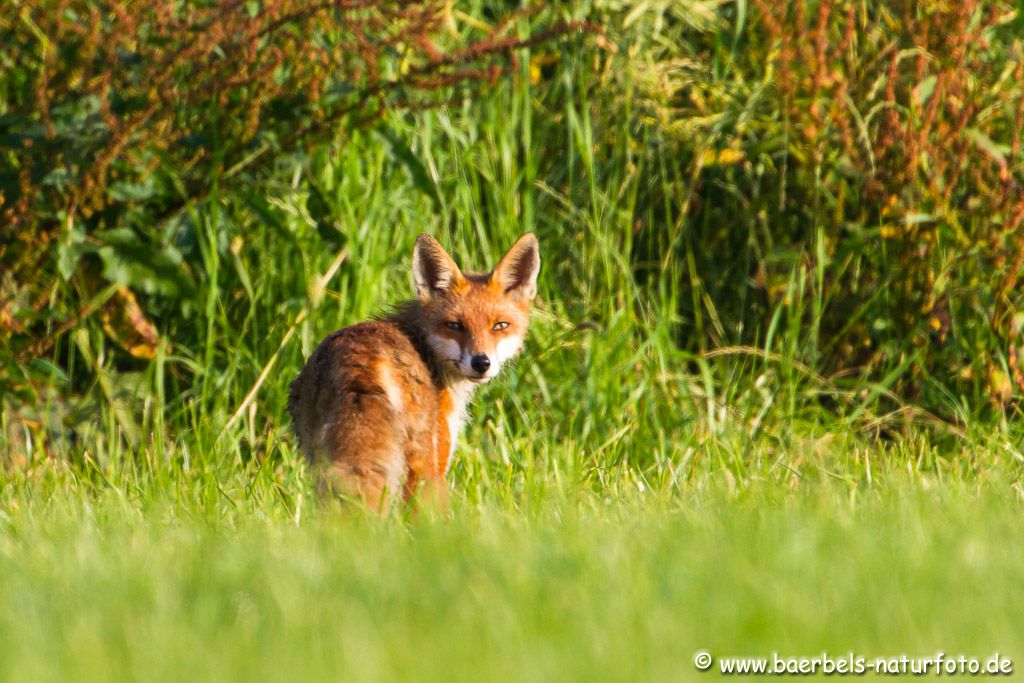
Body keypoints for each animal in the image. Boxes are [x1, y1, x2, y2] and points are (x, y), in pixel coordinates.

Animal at [286, 232, 540, 509]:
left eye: (500, 325)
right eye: (454, 325)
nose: (481, 362)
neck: (423, 346)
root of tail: (360, 363)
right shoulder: (439, 455)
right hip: (421, 462)